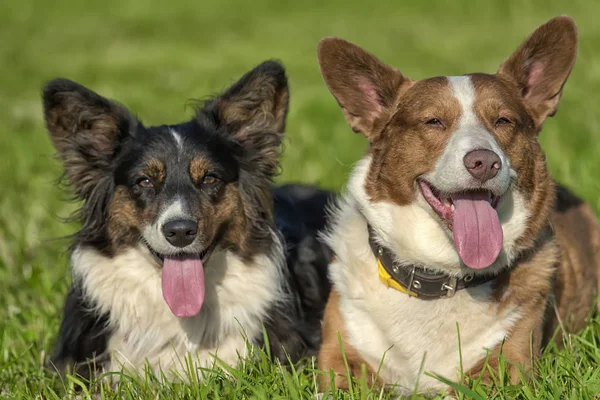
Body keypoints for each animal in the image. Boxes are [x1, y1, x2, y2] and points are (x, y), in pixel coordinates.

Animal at [316, 16, 596, 396]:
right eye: (434, 121)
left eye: (503, 121)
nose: (485, 162)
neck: (438, 273)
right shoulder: (340, 357)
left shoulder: (507, 368)